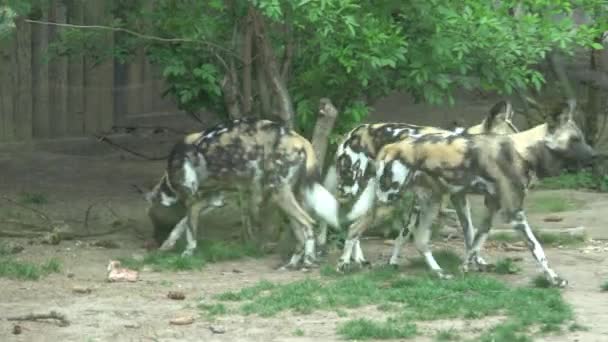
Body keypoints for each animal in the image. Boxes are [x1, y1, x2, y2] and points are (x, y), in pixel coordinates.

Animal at [145, 117, 340, 270]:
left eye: (163, 188)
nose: (149, 197)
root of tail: (301, 140)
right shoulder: (214, 199)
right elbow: (182, 223)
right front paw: (168, 244)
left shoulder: (194, 199)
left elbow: (190, 230)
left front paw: (187, 253)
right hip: (287, 197)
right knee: (301, 231)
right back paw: (292, 264)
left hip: (280, 193)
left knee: (309, 224)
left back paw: (307, 262)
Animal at [324, 101, 516, 268]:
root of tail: (351, 133)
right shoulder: (433, 199)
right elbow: (407, 233)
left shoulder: (454, 199)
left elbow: (469, 233)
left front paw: (477, 260)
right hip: (352, 189)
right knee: (347, 219)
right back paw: (346, 258)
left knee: (356, 221)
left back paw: (358, 258)